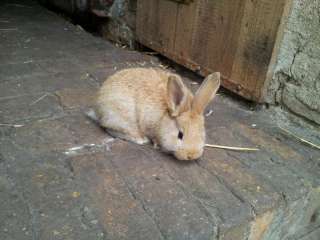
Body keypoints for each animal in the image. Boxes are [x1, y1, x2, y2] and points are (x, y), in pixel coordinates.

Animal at [90, 67, 220, 161]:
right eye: (180, 135)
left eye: (202, 133)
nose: (191, 155)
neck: (163, 117)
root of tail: (97, 106)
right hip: (120, 118)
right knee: (110, 129)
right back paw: (141, 139)